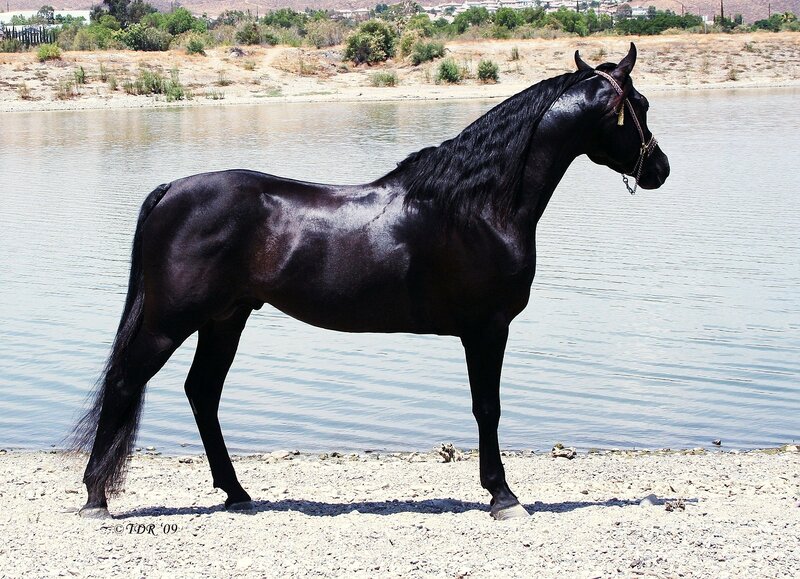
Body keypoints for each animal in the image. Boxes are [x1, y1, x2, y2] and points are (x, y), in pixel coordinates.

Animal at [73, 44, 669, 520]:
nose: (659, 169)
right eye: (639, 106)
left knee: (202, 392)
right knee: (126, 381)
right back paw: (97, 499)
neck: (478, 207)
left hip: (226, 318)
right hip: (172, 320)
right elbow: (488, 408)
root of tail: (171, 190)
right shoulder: (487, 329)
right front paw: (503, 497)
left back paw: (237, 493)